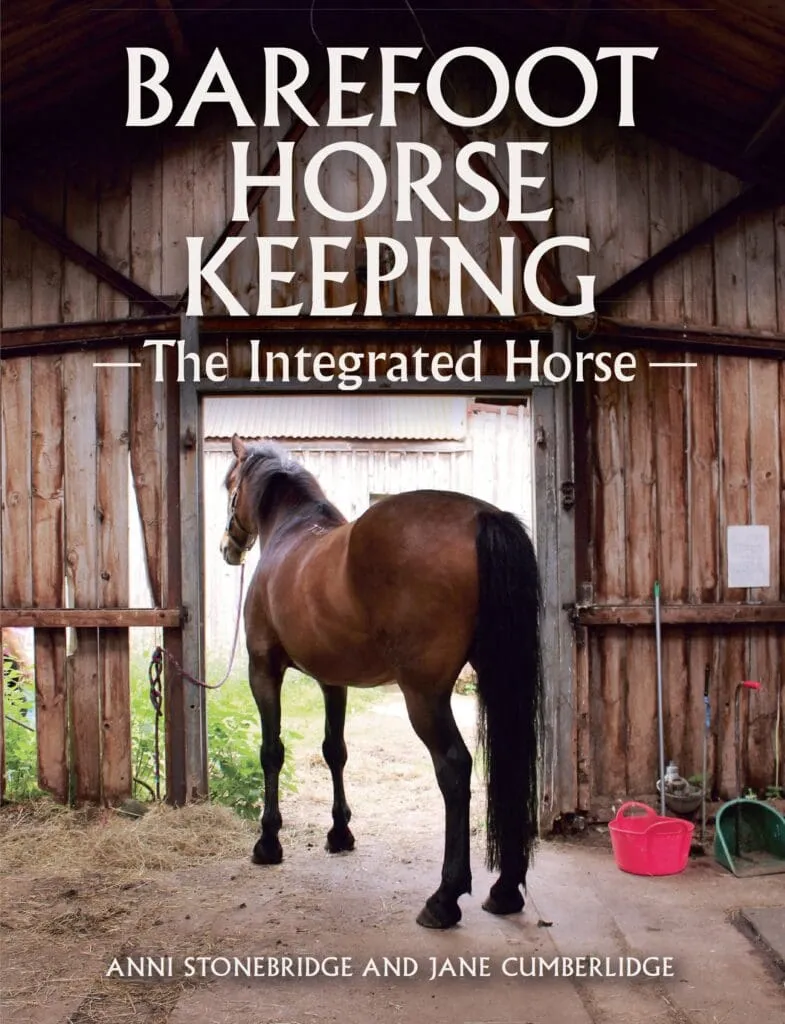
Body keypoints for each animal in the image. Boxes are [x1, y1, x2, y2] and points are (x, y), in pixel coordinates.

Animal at [221, 435, 542, 929]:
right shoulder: (332, 681)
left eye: (229, 485)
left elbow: (271, 752)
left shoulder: (264, 669)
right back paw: (504, 890)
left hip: (424, 696)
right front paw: (340, 833)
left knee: (454, 768)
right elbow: (335, 751)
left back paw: (444, 899)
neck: (291, 533)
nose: (229, 547)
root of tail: (482, 517)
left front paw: (268, 843)